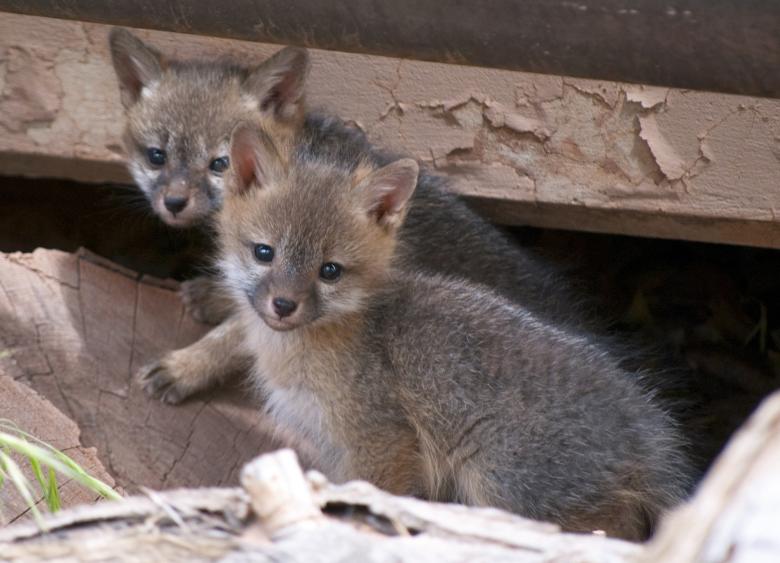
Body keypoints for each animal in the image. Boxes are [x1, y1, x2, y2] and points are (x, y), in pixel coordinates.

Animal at [214, 122, 692, 541]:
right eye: (264, 253)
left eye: (330, 271)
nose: (283, 305)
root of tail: (648, 429)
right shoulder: (330, 445)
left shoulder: (382, 441)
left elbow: (370, 497)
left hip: (498, 483)